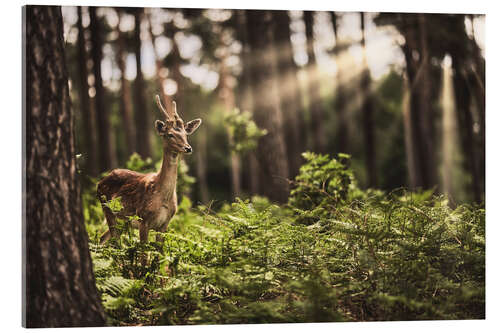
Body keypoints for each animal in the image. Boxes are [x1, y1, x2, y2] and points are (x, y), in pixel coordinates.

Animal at [97, 94, 201, 244]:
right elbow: (143, 250)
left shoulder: (164, 224)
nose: (188, 148)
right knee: (114, 241)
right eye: (170, 134)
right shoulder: (143, 219)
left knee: (103, 237)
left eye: (186, 135)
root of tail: (99, 182)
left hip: (122, 221)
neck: (163, 198)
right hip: (107, 209)